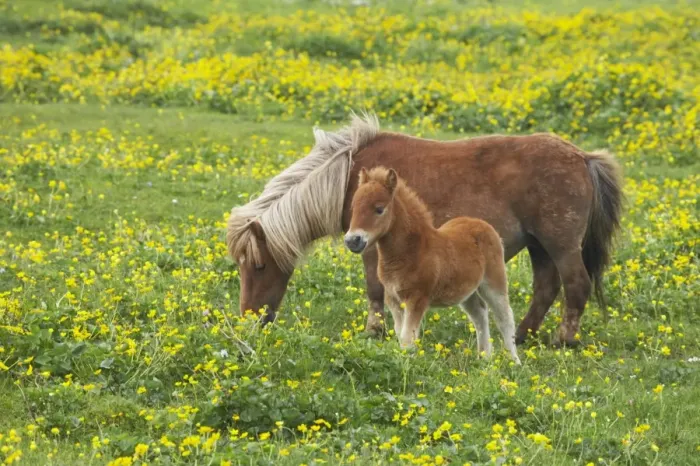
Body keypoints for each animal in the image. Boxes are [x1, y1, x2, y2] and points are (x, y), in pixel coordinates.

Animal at [345, 166, 521, 362]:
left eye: (379, 209)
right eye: (353, 207)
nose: (352, 240)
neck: (411, 251)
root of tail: (483, 225)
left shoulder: (417, 299)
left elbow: (408, 337)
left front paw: (408, 363)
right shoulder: (393, 299)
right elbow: (400, 333)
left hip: (493, 282)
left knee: (504, 317)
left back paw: (514, 361)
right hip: (466, 291)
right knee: (480, 314)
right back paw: (483, 357)